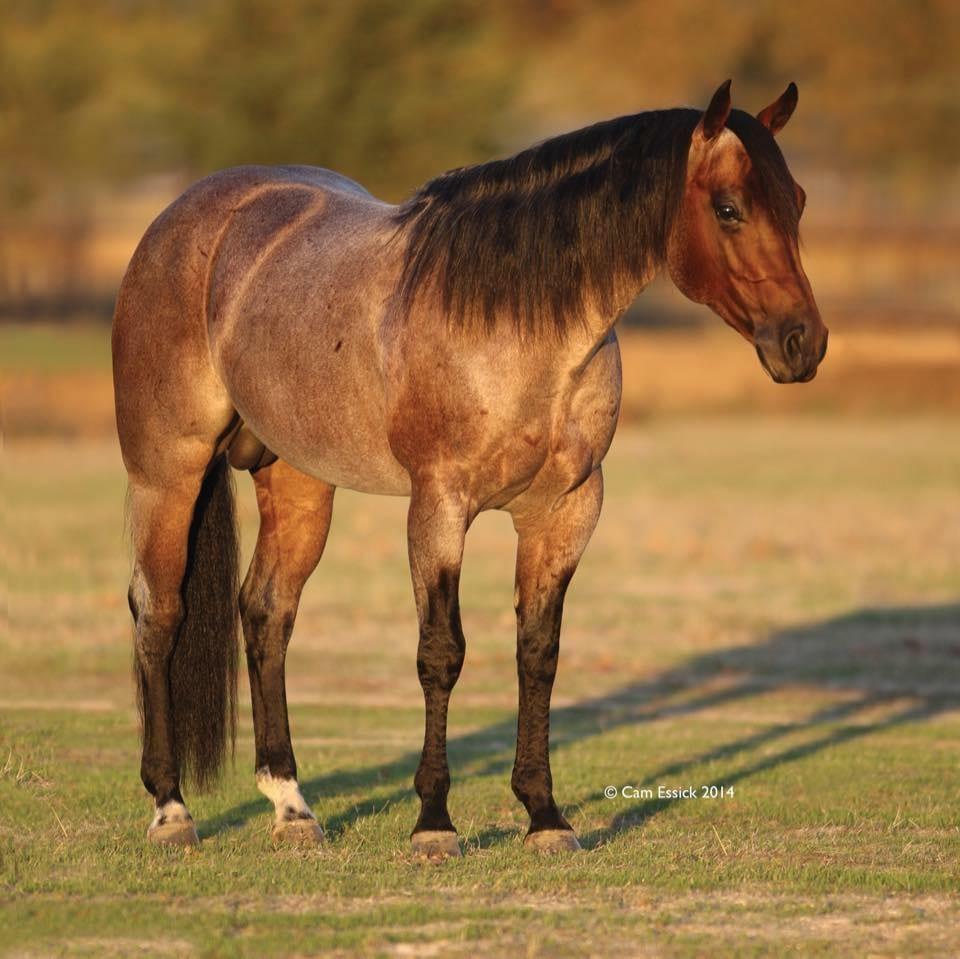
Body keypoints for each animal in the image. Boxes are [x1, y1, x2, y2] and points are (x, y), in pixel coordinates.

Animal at [112, 79, 827, 857]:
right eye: (728, 207)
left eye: (798, 200)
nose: (803, 342)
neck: (518, 325)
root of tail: (186, 218)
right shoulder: (439, 508)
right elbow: (441, 653)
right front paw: (434, 822)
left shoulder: (566, 511)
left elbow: (537, 651)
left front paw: (545, 816)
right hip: (167, 475)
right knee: (160, 612)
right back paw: (170, 809)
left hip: (299, 482)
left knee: (268, 613)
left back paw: (292, 806)